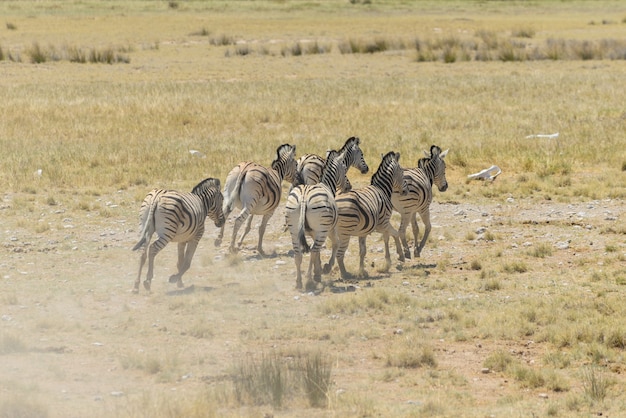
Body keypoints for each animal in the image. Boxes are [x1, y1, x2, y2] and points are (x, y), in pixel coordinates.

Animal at [284, 149, 352, 290]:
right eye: (344, 168)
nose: (349, 187)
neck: (326, 184)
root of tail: (304, 197)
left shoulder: (313, 232)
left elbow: (319, 253)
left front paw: (318, 270)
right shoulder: (329, 229)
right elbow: (335, 244)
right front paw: (324, 269)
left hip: (294, 229)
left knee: (298, 254)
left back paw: (299, 282)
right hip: (322, 229)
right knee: (313, 250)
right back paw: (309, 280)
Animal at [322, 152, 410, 280]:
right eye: (403, 172)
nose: (406, 191)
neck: (382, 189)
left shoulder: (363, 231)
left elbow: (363, 251)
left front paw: (362, 271)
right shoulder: (383, 223)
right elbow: (394, 234)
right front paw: (400, 255)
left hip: (330, 231)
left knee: (333, 247)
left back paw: (326, 268)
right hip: (345, 232)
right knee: (339, 253)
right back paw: (345, 274)